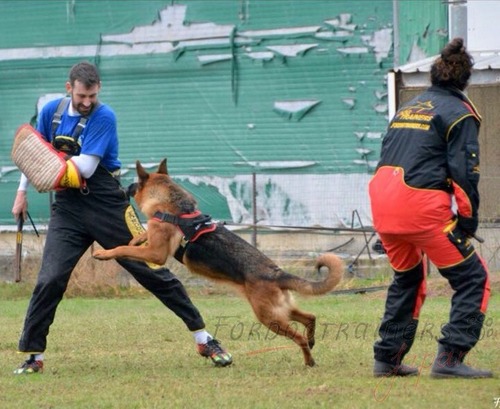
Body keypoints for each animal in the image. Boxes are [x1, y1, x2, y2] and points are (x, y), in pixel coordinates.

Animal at [93, 159, 344, 366]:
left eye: (135, 182)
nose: (123, 188)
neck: (173, 206)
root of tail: (276, 272)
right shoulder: (153, 243)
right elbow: (138, 239)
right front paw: (135, 238)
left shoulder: (156, 254)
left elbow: (125, 248)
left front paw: (106, 253)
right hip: (280, 310)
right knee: (310, 317)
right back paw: (312, 342)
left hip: (268, 316)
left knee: (299, 336)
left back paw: (309, 361)